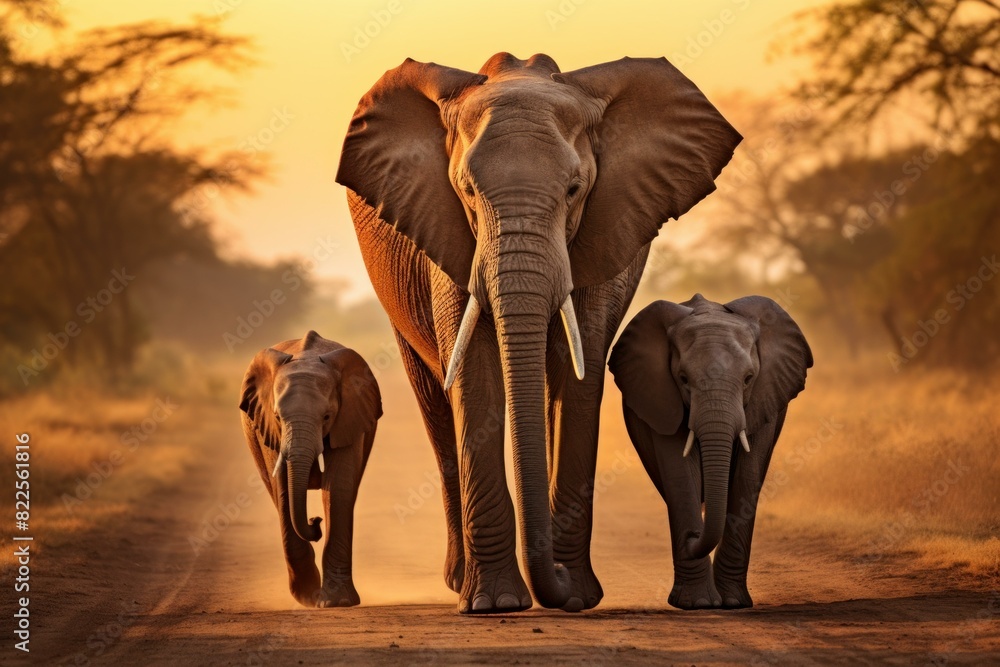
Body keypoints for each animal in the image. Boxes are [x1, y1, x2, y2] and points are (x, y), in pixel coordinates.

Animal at [239, 330, 381, 608]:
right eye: (278, 416)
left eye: (326, 416)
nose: (315, 522)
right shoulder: (268, 426)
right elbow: (283, 487)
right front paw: (308, 596)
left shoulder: (350, 416)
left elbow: (339, 486)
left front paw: (335, 601)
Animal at [335, 52, 740, 613]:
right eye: (467, 191)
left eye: (574, 190)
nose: (558, 584)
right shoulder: (448, 234)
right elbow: (476, 378)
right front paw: (497, 604)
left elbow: (579, 375)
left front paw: (577, 596)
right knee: (436, 405)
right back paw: (460, 583)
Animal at [608, 294, 812, 609]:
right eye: (683, 379)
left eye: (748, 378)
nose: (692, 536)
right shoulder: (662, 398)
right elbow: (679, 474)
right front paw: (699, 603)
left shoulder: (764, 398)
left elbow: (748, 475)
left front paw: (733, 602)